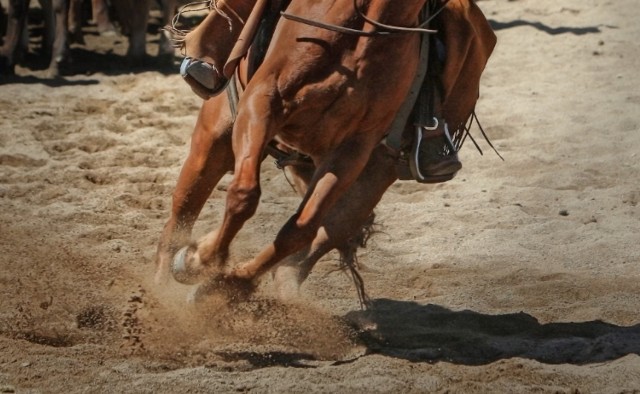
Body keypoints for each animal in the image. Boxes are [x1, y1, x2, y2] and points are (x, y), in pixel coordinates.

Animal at [155, 0, 496, 300]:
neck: (363, 33)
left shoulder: (353, 149)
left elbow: (301, 228)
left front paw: (220, 280)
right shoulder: (261, 102)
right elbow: (243, 195)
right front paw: (200, 260)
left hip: (371, 177)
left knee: (312, 245)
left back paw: (241, 291)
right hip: (214, 139)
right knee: (182, 210)